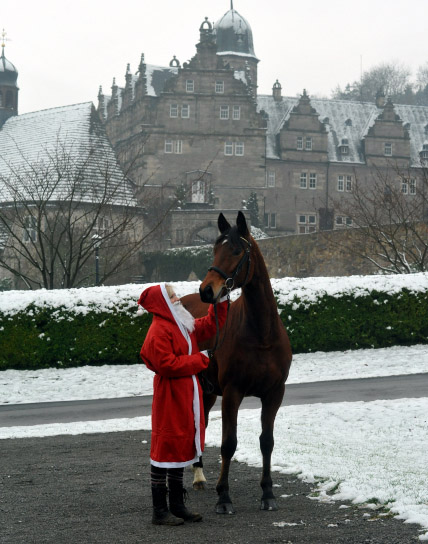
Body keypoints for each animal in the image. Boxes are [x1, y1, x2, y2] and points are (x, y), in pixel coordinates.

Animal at [182, 212, 292, 516]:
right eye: (214, 249)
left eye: (235, 250)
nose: (207, 290)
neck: (261, 333)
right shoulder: (233, 392)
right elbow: (228, 444)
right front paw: (224, 496)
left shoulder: (274, 393)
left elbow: (267, 442)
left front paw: (267, 493)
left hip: (208, 392)